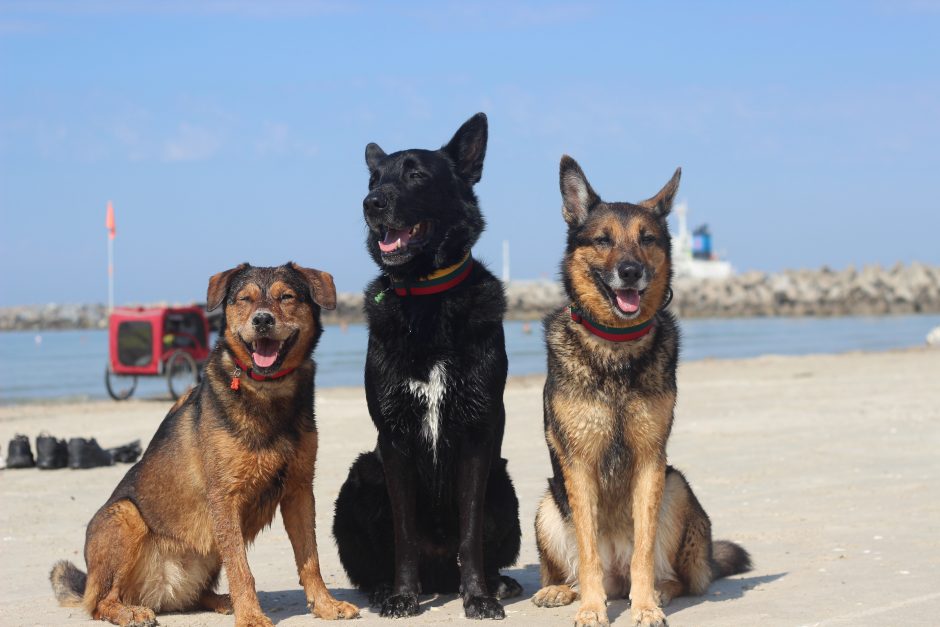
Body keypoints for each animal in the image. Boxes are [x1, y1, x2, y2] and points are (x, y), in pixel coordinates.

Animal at [49, 264, 362, 627]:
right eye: (245, 299)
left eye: (287, 297)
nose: (262, 320)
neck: (266, 390)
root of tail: (159, 592)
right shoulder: (225, 497)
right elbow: (242, 569)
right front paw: (251, 616)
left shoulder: (299, 489)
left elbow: (310, 559)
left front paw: (325, 605)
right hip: (126, 517)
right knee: (102, 602)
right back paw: (130, 612)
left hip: (207, 549)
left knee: (195, 595)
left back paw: (221, 600)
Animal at [330, 114, 520, 624]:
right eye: (374, 180)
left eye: (416, 175)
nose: (371, 204)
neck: (427, 298)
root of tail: (439, 574)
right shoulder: (393, 440)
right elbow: (404, 534)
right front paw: (402, 596)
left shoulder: (476, 438)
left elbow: (470, 534)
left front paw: (478, 598)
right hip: (360, 476)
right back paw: (382, 590)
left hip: (503, 484)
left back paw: (497, 583)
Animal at [532, 158, 752, 627]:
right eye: (602, 240)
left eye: (647, 239)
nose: (631, 271)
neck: (615, 345)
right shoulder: (578, 465)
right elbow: (588, 552)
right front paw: (592, 609)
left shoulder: (651, 461)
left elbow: (645, 550)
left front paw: (646, 605)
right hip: (548, 505)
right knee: (574, 570)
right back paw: (562, 590)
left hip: (676, 486)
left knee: (675, 575)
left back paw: (658, 592)